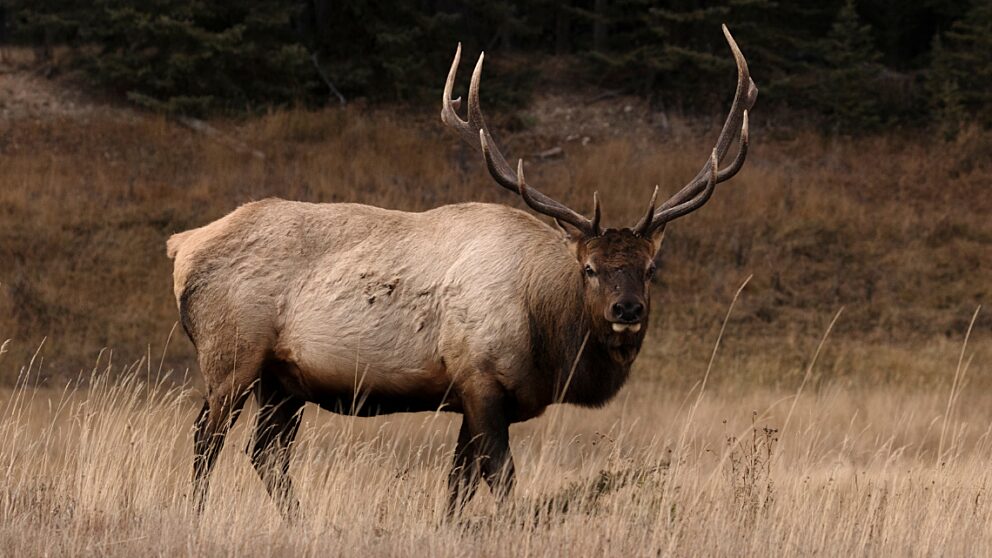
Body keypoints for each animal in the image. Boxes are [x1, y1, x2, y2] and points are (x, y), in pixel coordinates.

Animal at [165, 25, 756, 519]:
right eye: (589, 268)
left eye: (651, 268)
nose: (626, 308)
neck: (549, 338)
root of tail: (182, 246)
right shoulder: (480, 378)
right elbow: (503, 481)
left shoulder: (479, 401)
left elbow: (458, 486)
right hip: (232, 353)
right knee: (206, 438)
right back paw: (195, 516)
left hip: (285, 380)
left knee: (265, 454)